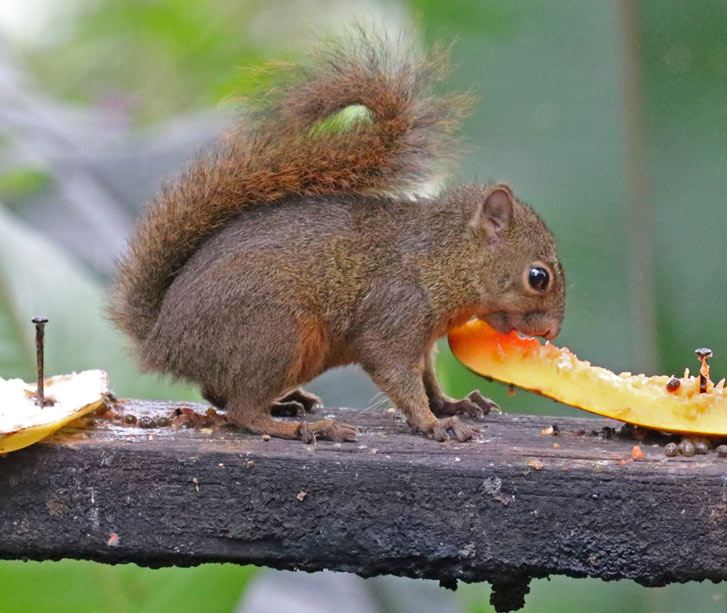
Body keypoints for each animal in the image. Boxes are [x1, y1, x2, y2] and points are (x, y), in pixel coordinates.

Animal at [110, 31, 565, 444]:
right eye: (538, 277)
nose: (551, 333)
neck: (440, 258)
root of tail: (162, 338)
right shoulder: (393, 315)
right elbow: (397, 375)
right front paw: (434, 424)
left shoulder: (423, 342)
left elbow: (427, 378)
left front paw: (452, 405)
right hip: (275, 330)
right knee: (241, 411)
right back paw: (302, 427)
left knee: (217, 393)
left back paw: (288, 404)